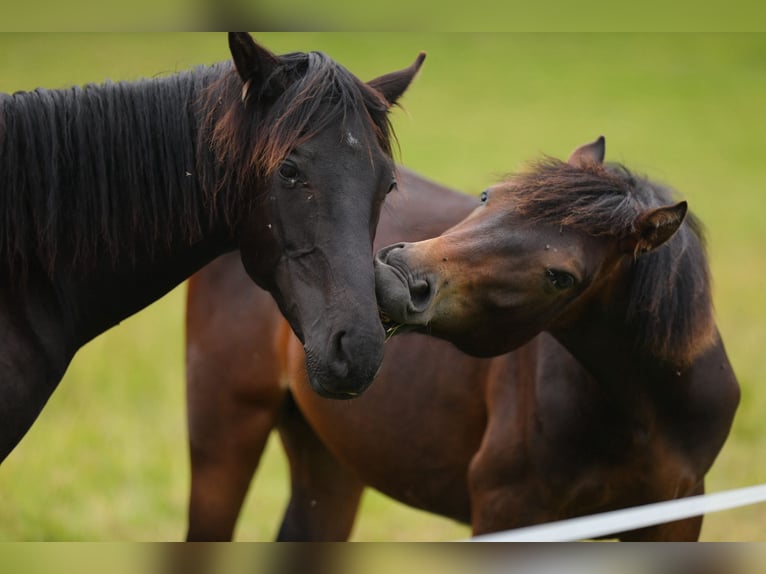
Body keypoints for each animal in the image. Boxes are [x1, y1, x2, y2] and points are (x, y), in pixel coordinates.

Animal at [184, 139, 739, 541]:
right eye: (488, 196)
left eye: (561, 277)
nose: (395, 279)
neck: (647, 410)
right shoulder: (508, 513)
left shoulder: (674, 519)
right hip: (225, 429)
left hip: (328, 453)